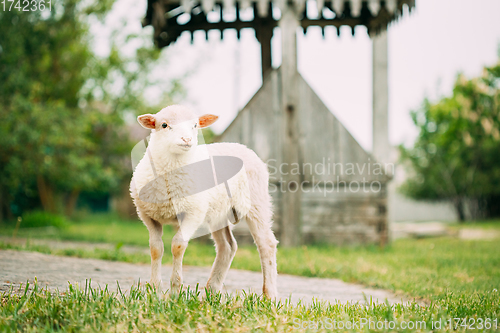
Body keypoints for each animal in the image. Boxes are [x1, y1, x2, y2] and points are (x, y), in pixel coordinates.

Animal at [129, 105, 280, 296]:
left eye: (195, 125)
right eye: (164, 125)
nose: (187, 139)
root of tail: (243, 147)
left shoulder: (193, 213)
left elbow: (178, 246)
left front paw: (175, 291)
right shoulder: (148, 216)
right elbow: (156, 249)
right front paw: (154, 290)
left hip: (256, 203)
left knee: (266, 244)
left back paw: (269, 295)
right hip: (219, 212)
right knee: (227, 246)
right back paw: (212, 290)